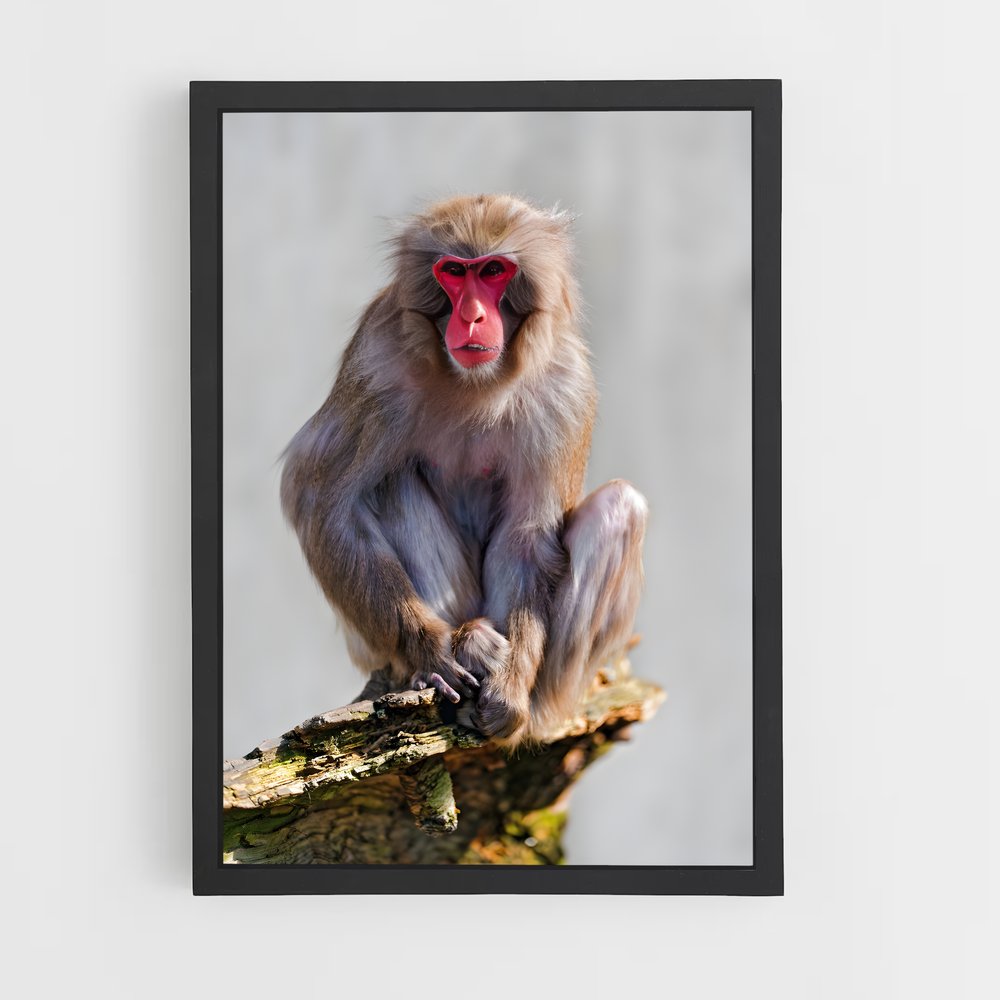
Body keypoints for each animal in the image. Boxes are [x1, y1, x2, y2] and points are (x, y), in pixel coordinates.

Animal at [281, 194, 647, 747]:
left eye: (493, 270)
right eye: (454, 271)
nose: (472, 316)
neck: (476, 383)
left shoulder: (566, 391)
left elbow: (526, 539)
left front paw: (509, 691)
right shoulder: (376, 364)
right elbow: (320, 500)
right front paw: (431, 649)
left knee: (620, 507)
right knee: (388, 482)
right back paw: (450, 651)